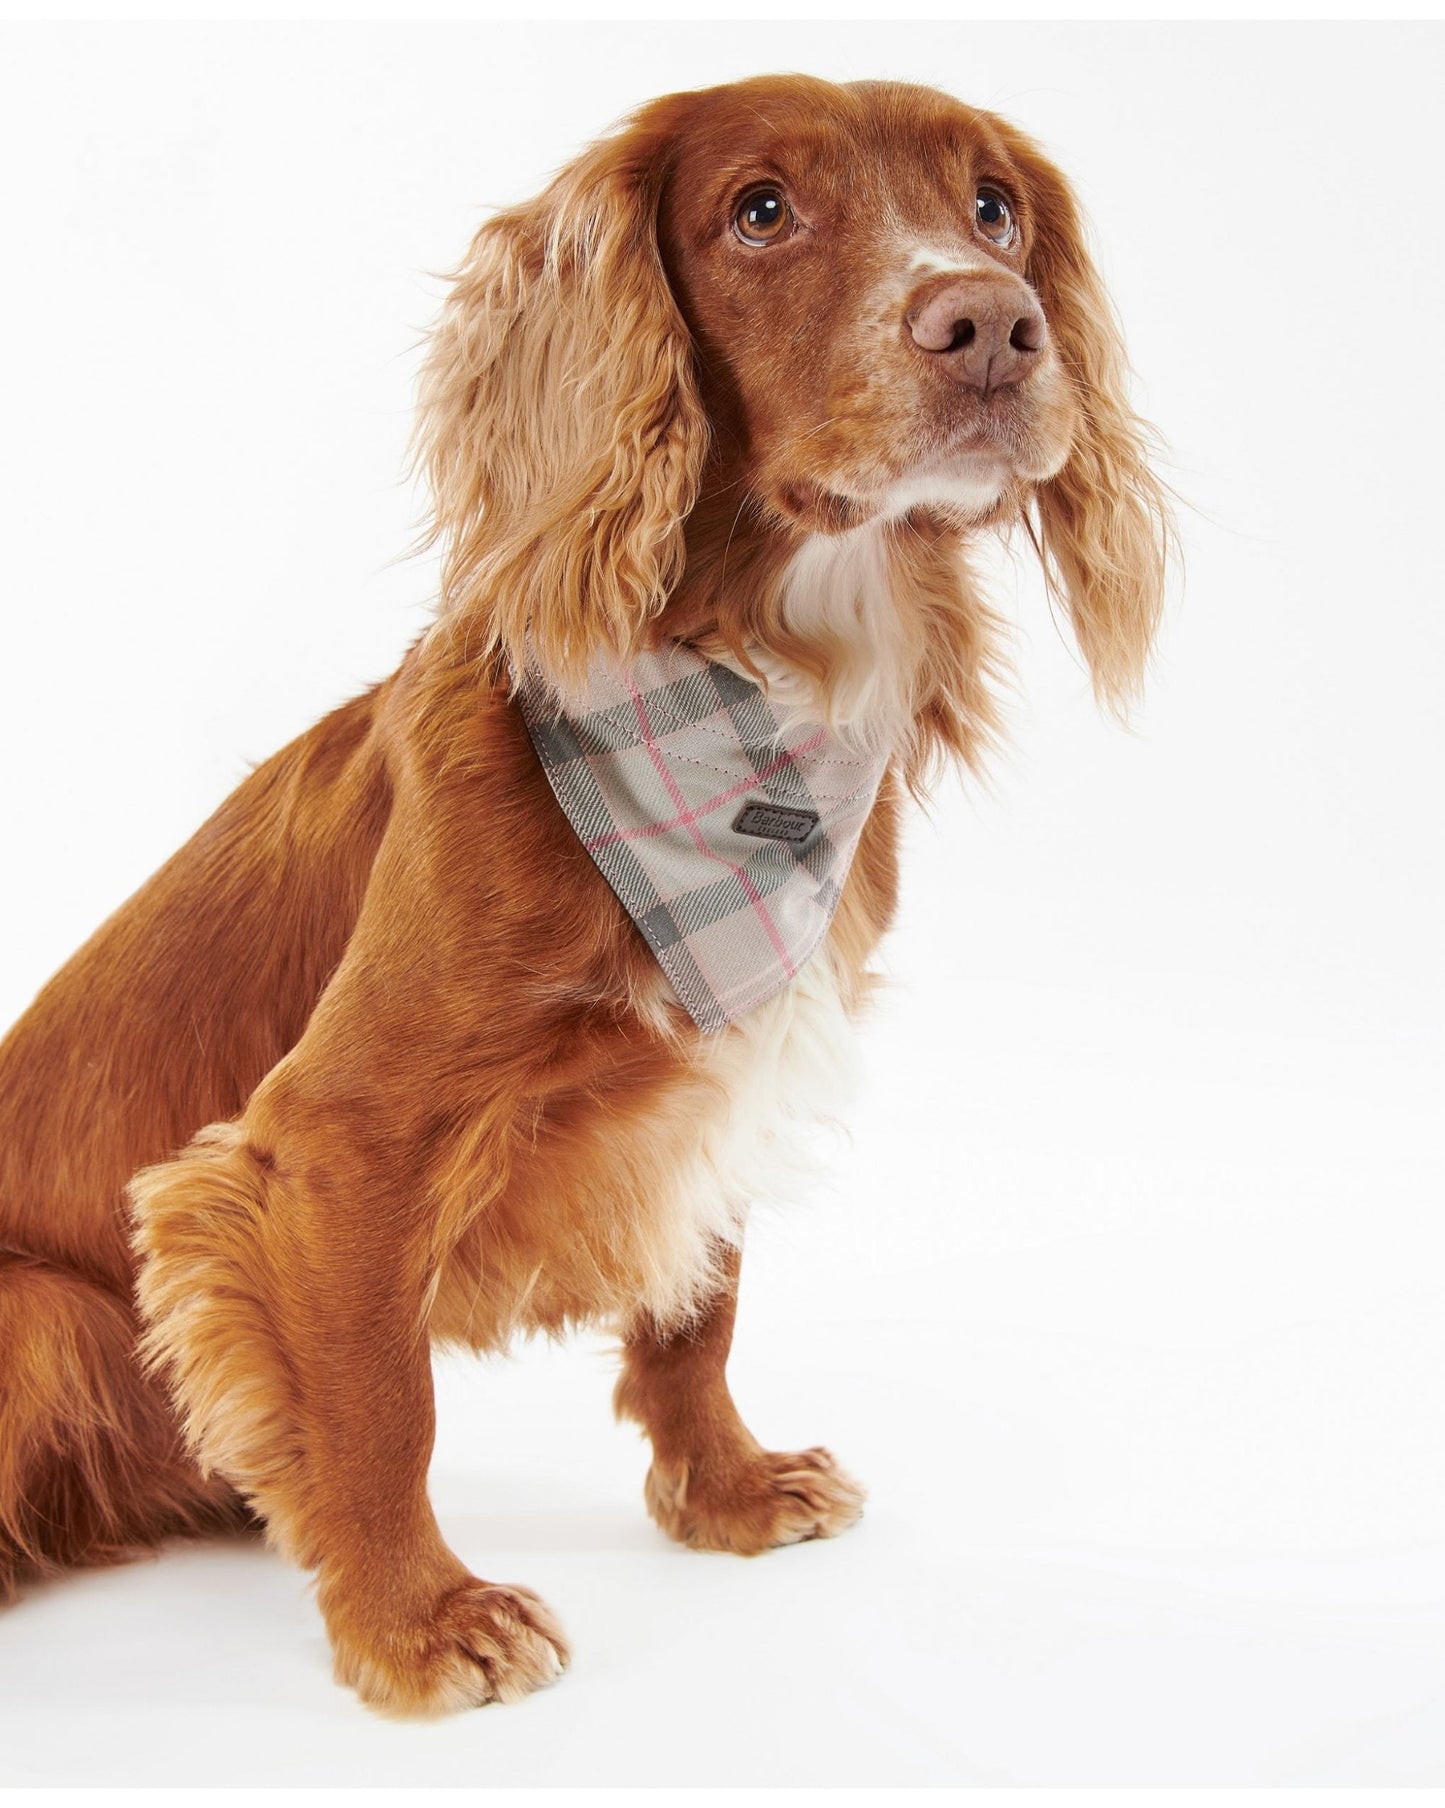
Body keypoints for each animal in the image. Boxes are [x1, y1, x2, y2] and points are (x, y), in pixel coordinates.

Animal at [0, 77, 1171, 1713]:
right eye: (759, 210)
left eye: (993, 206)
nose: (992, 325)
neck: (754, 689)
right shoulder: (330, 1144)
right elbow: (380, 1398)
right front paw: (417, 1619)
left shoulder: (731, 1042)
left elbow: (698, 1309)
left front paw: (725, 1490)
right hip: (39, 1311)